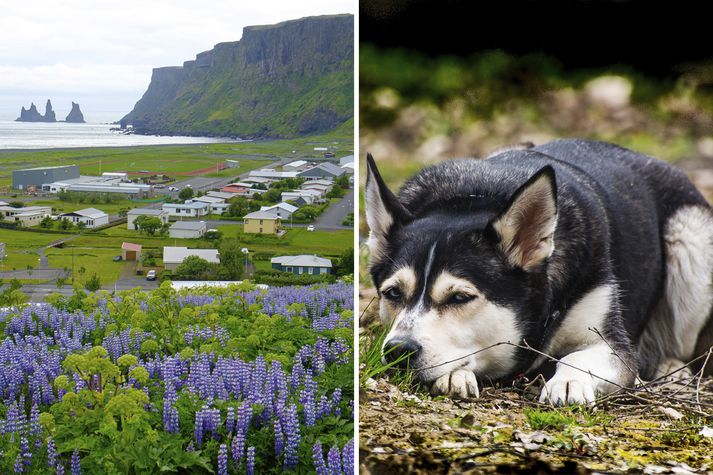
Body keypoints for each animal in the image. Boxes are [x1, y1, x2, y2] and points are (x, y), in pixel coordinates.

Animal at [364, 139, 712, 408]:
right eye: (393, 293)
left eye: (460, 297)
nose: (398, 350)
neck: (474, 198)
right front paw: (455, 373)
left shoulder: (613, 344)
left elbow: (578, 358)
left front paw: (568, 382)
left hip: (692, 239)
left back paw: (672, 366)